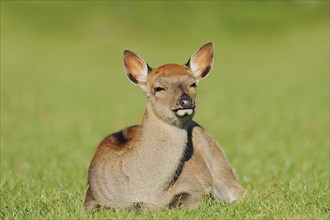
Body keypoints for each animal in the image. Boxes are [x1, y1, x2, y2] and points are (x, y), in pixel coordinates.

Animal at [85, 42, 245, 211]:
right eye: (158, 88)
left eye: (193, 84)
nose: (186, 101)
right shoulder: (91, 196)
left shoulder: (193, 185)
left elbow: (171, 205)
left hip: (222, 166)